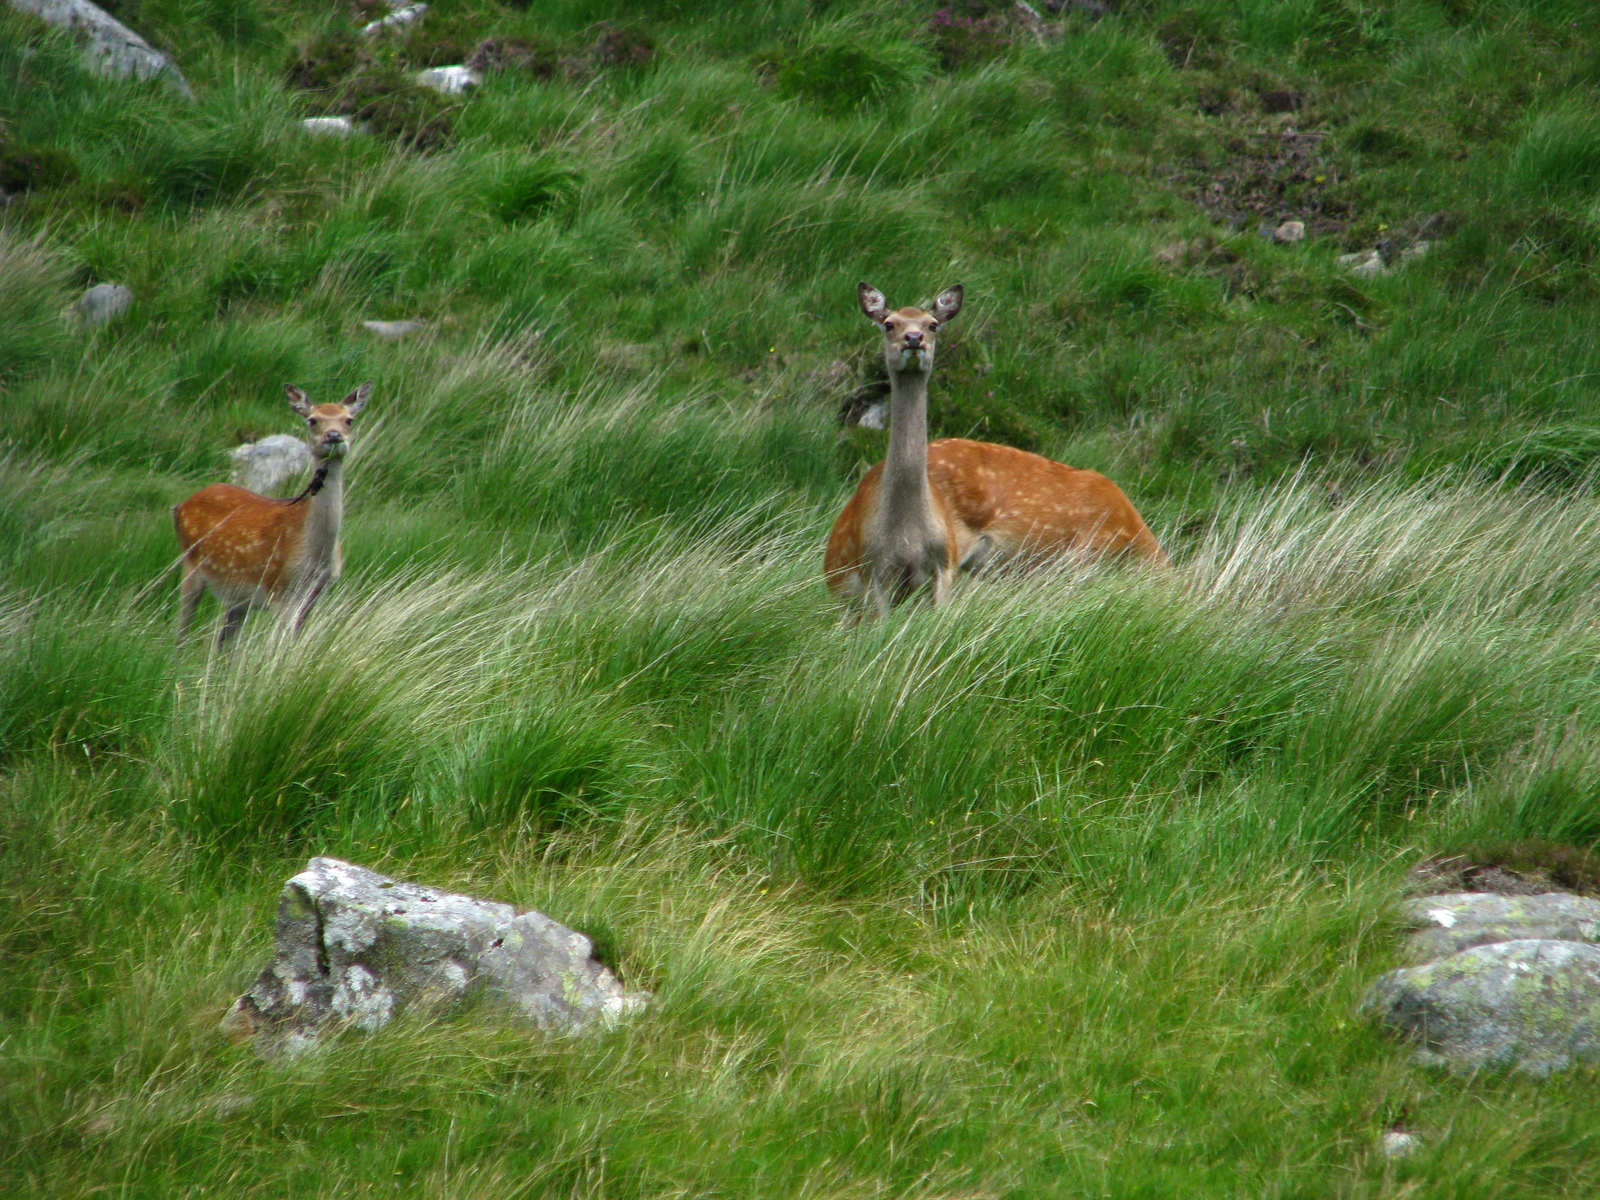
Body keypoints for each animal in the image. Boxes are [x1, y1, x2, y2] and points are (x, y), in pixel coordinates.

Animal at [174, 382, 371, 649]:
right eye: (312, 420)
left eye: (348, 419)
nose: (333, 436)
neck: (314, 559)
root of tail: (180, 506)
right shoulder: (278, 590)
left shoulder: (315, 596)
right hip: (190, 565)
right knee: (182, 630)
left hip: (237, 595)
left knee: (225, 643)